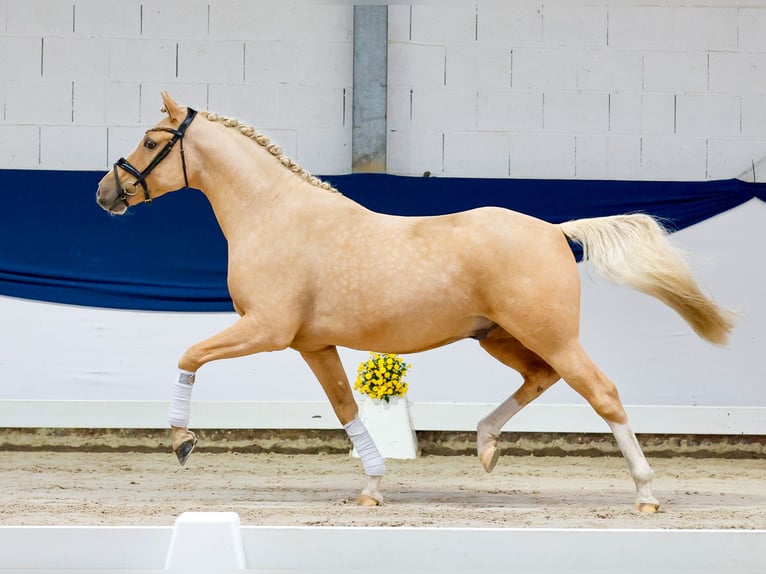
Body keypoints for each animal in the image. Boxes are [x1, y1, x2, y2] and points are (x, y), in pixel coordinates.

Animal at [96, 92, 735, 513]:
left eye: (151, 141)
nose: (106, 192)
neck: (275, 214)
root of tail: (555, 230)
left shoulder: (266, 330)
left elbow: (189, 354)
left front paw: (182, 441)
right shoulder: (312, 344)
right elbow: (345, 408)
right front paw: (373, 487)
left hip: (549, 335)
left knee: (601, 392)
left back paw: (646, 494)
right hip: (500, 337)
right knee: (540, 378)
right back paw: (485, 446)